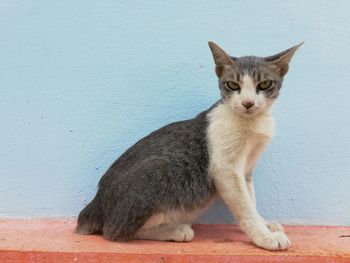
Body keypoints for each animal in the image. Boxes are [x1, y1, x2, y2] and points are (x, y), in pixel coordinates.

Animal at [76, 41, 300, 252]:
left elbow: (251, 200)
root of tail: (95, 203)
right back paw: (175, 229)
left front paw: (265, 224)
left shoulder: (246, 170)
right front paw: (264, 236)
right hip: (156, 170)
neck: (252, 124)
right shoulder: (226, 170)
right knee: (114, 231)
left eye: (264, 84)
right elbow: (244, 206)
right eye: (233, 85)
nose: (247, 103)